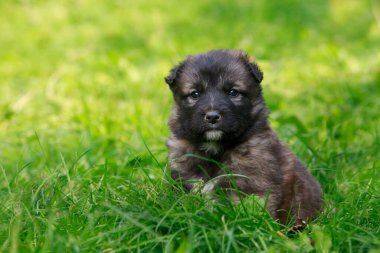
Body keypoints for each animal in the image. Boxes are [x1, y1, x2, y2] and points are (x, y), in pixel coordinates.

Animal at [165, 49, 322, 225]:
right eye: (195, 94)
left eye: (233, 92)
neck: (214, 148)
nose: (212, 116)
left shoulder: (251, 187)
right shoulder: (184, 181)